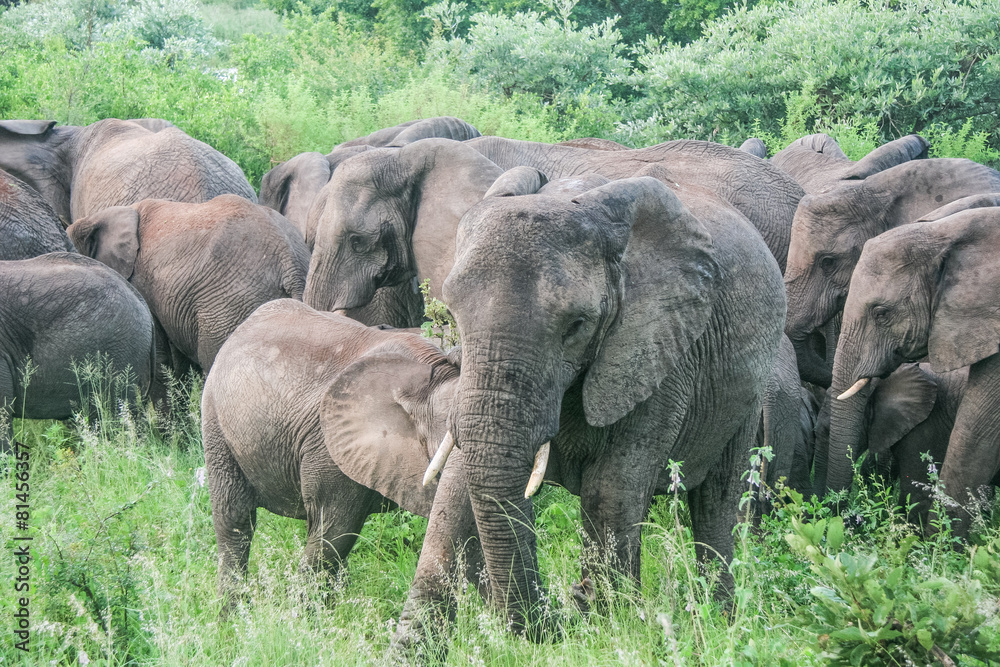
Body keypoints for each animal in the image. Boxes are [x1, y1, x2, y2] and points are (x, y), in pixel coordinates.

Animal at [202, 299, 481, 616]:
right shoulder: (328, 448)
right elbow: (335, 533)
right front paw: (308, 621)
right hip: (216, 421)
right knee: (235, 521)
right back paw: (232, 617)